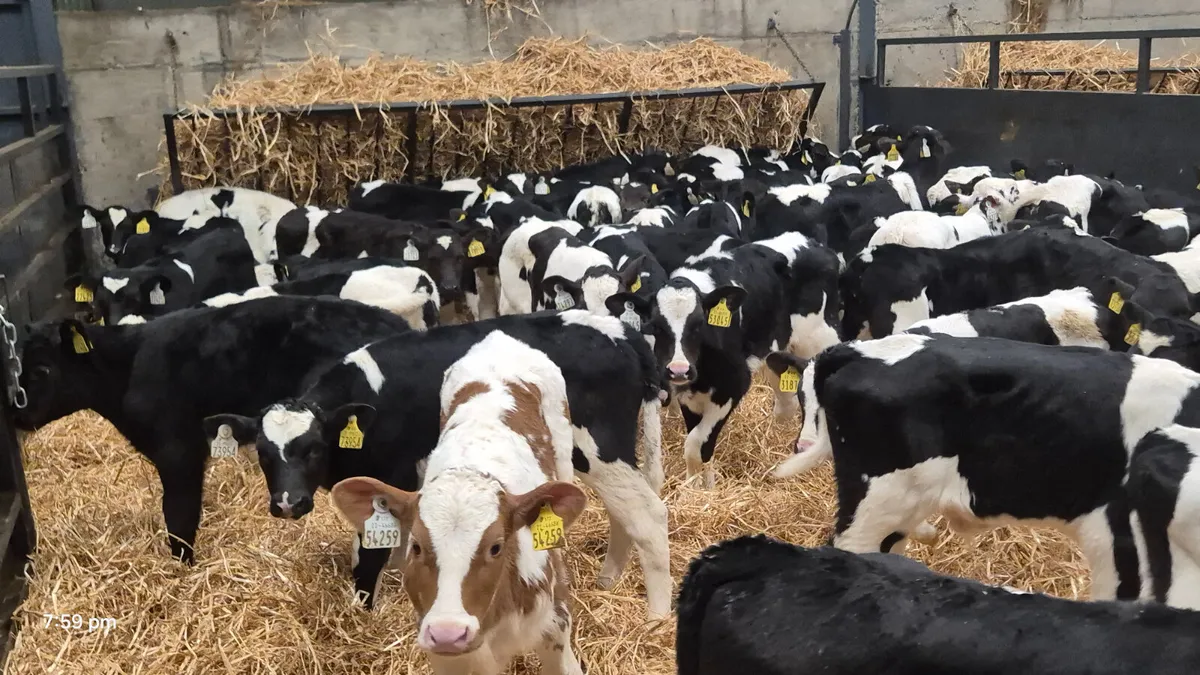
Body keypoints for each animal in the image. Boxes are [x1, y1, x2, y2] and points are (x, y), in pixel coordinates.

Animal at [11, 297, 413, 565]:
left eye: (43, 370)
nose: (18, 413)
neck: (129, 368)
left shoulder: (178, 452)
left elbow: (179, 514)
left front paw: (182, 568)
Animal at [200, 310, 671, 618]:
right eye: (263, 453)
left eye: (313, 448)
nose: (288, 503)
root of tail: (620, 331)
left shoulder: (390, 473)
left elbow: (369, 556)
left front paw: (362, 614)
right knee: (625, 512)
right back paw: (608, 581)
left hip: (598, 448)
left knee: (647, 514)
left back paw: (655, 617)